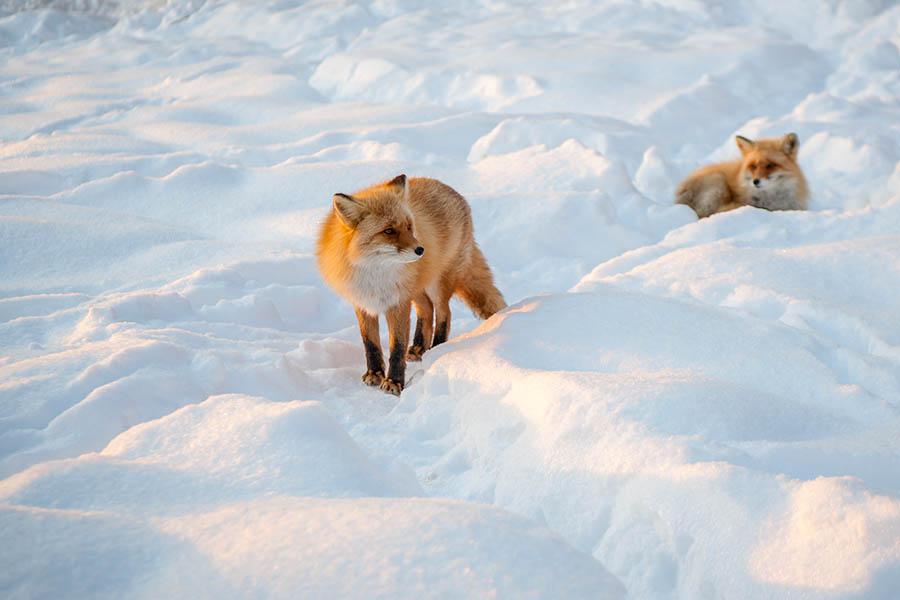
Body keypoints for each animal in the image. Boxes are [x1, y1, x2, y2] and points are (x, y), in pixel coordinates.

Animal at [316, 174, 506, 396]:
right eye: (389, 231)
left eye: (409, 226)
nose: (421, 250)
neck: (375, 274)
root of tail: (452, 191)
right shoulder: (363, 302)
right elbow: (370, 343)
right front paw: (374, 373)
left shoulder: (398, 302)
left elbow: (397, 347)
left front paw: (394, 382)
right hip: (416, 288)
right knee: (427, 309)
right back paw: (418, 348)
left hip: (436, 284)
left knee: (444, 312)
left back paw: (437, 349)